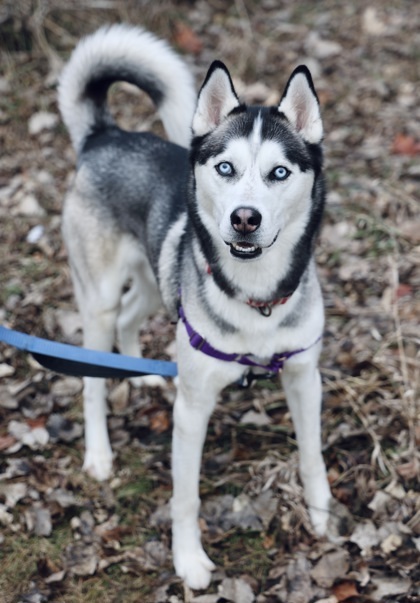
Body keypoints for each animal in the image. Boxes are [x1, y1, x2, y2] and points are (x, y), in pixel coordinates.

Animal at [58, 24, 332, 588]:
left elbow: (312, 454)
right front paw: (188, 562)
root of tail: (105, 136)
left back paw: (139, 372)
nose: (245, 218)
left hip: (153, 279)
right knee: (91, 379)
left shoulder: (304, 377)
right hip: (97, 300)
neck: (257, 297)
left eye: (278, 173)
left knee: (132, 316)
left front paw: (319, 511)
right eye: (226, 167)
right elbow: (185, 498)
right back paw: (99, 452)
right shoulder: (192, 410)